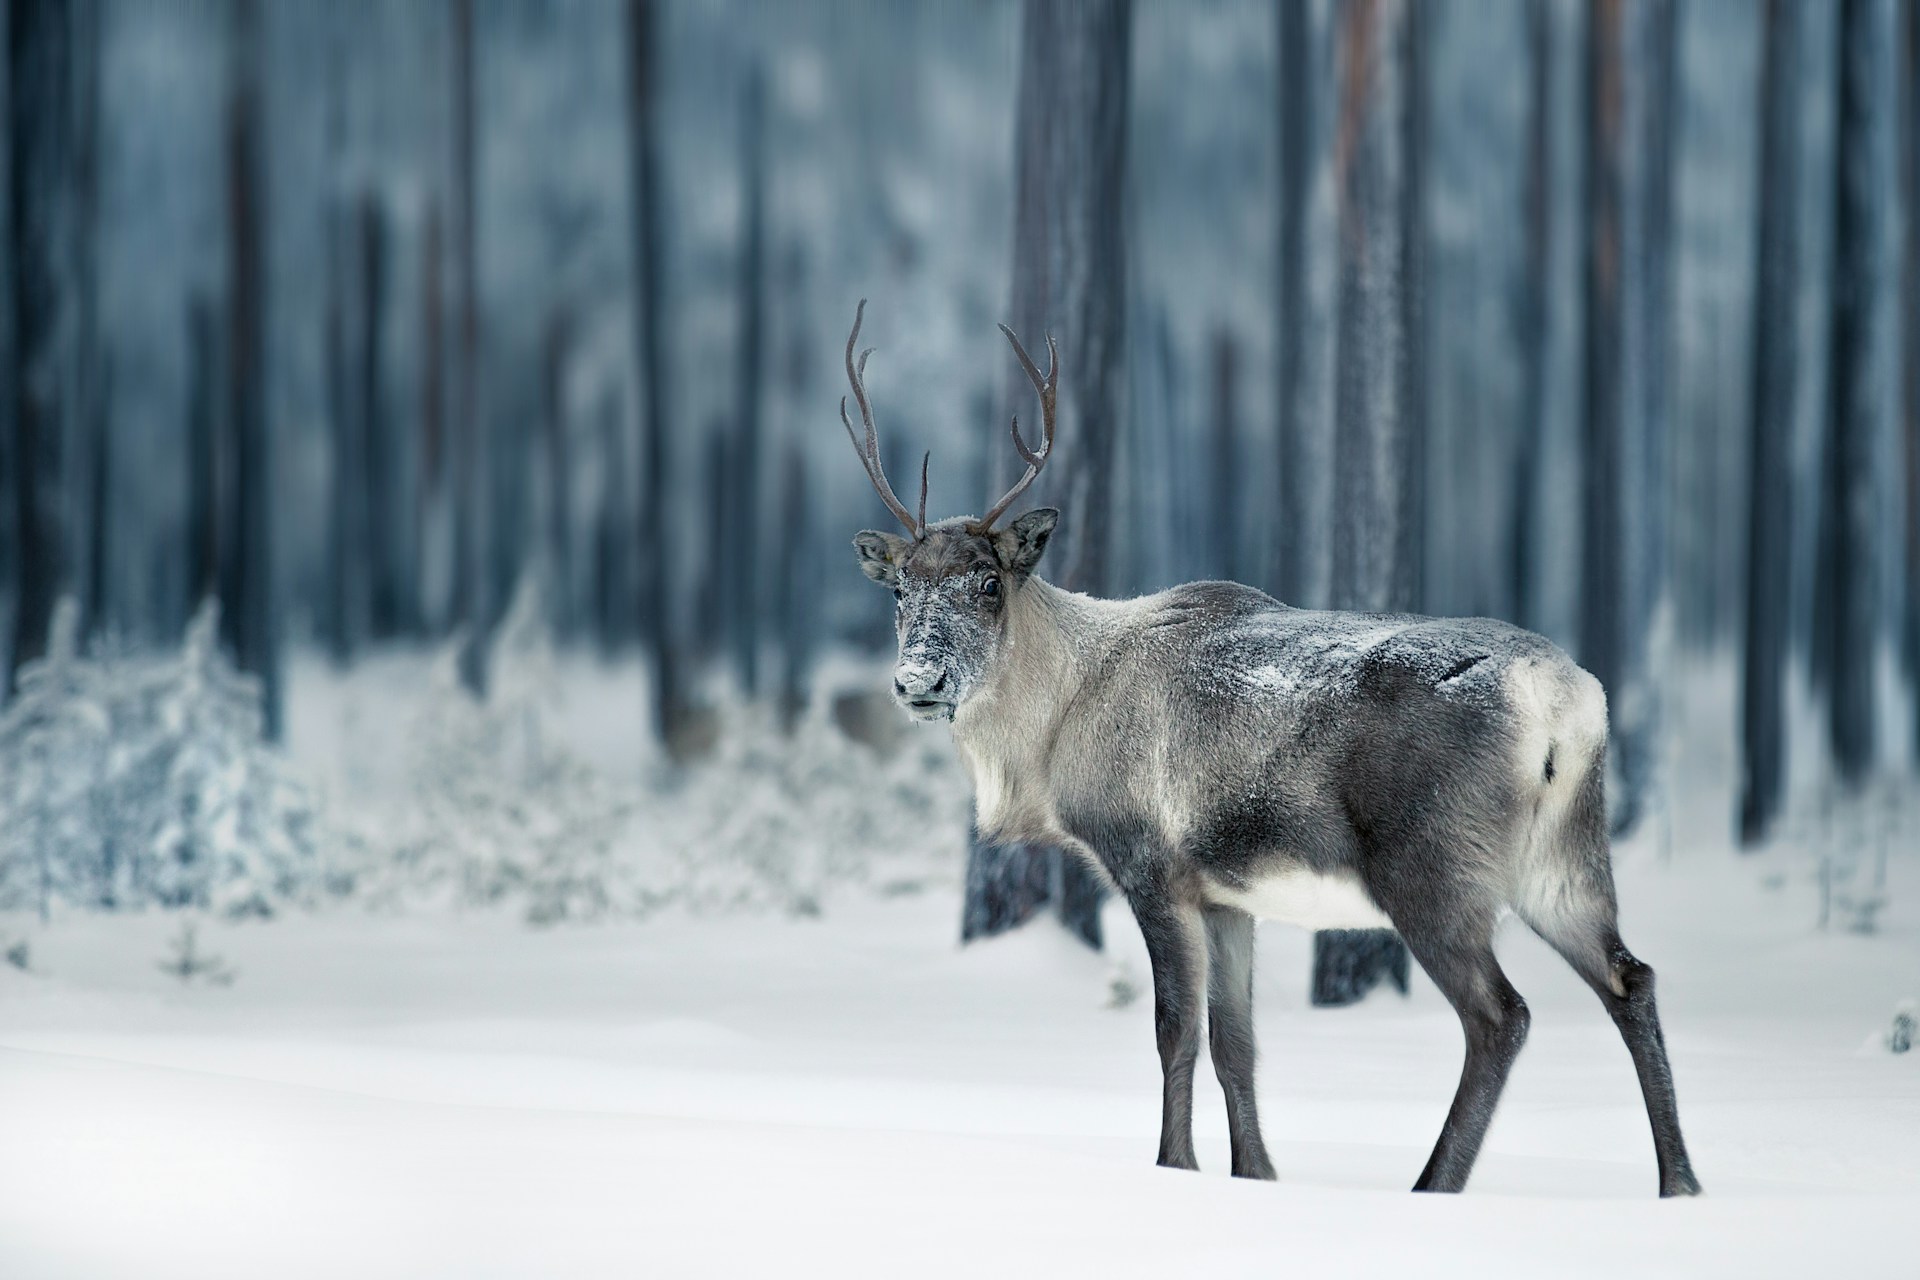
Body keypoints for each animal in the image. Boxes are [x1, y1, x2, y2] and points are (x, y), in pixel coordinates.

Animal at [837, 300, 1700, 1197]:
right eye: (900, 591)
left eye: (987, 582)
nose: (918, 678)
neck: (1056, 729)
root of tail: (1564, 700)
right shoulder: (1228, 895)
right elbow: (1237, 1043)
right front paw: (1255, 1174)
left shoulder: (1151, 865)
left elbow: (1175, 1031)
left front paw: (1175, 1165)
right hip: (1564, 856)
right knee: (1631, 977)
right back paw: (1679, 1182)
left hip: (1434, 866)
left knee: (1503, 1016)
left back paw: (1435, 1183)